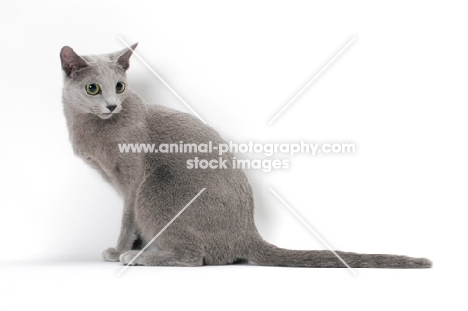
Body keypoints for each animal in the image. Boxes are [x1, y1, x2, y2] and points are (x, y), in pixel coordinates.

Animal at [60, 43, 434, 268]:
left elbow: (127, 220)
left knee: (193, 257)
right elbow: (132, 223)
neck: (92, 127)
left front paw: (119, 249)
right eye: (93, 88)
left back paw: (138, 258)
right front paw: (129, 246)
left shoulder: (133, 182)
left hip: (155, 191)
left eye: (120, 87)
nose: (112, 105)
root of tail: (247, 233)